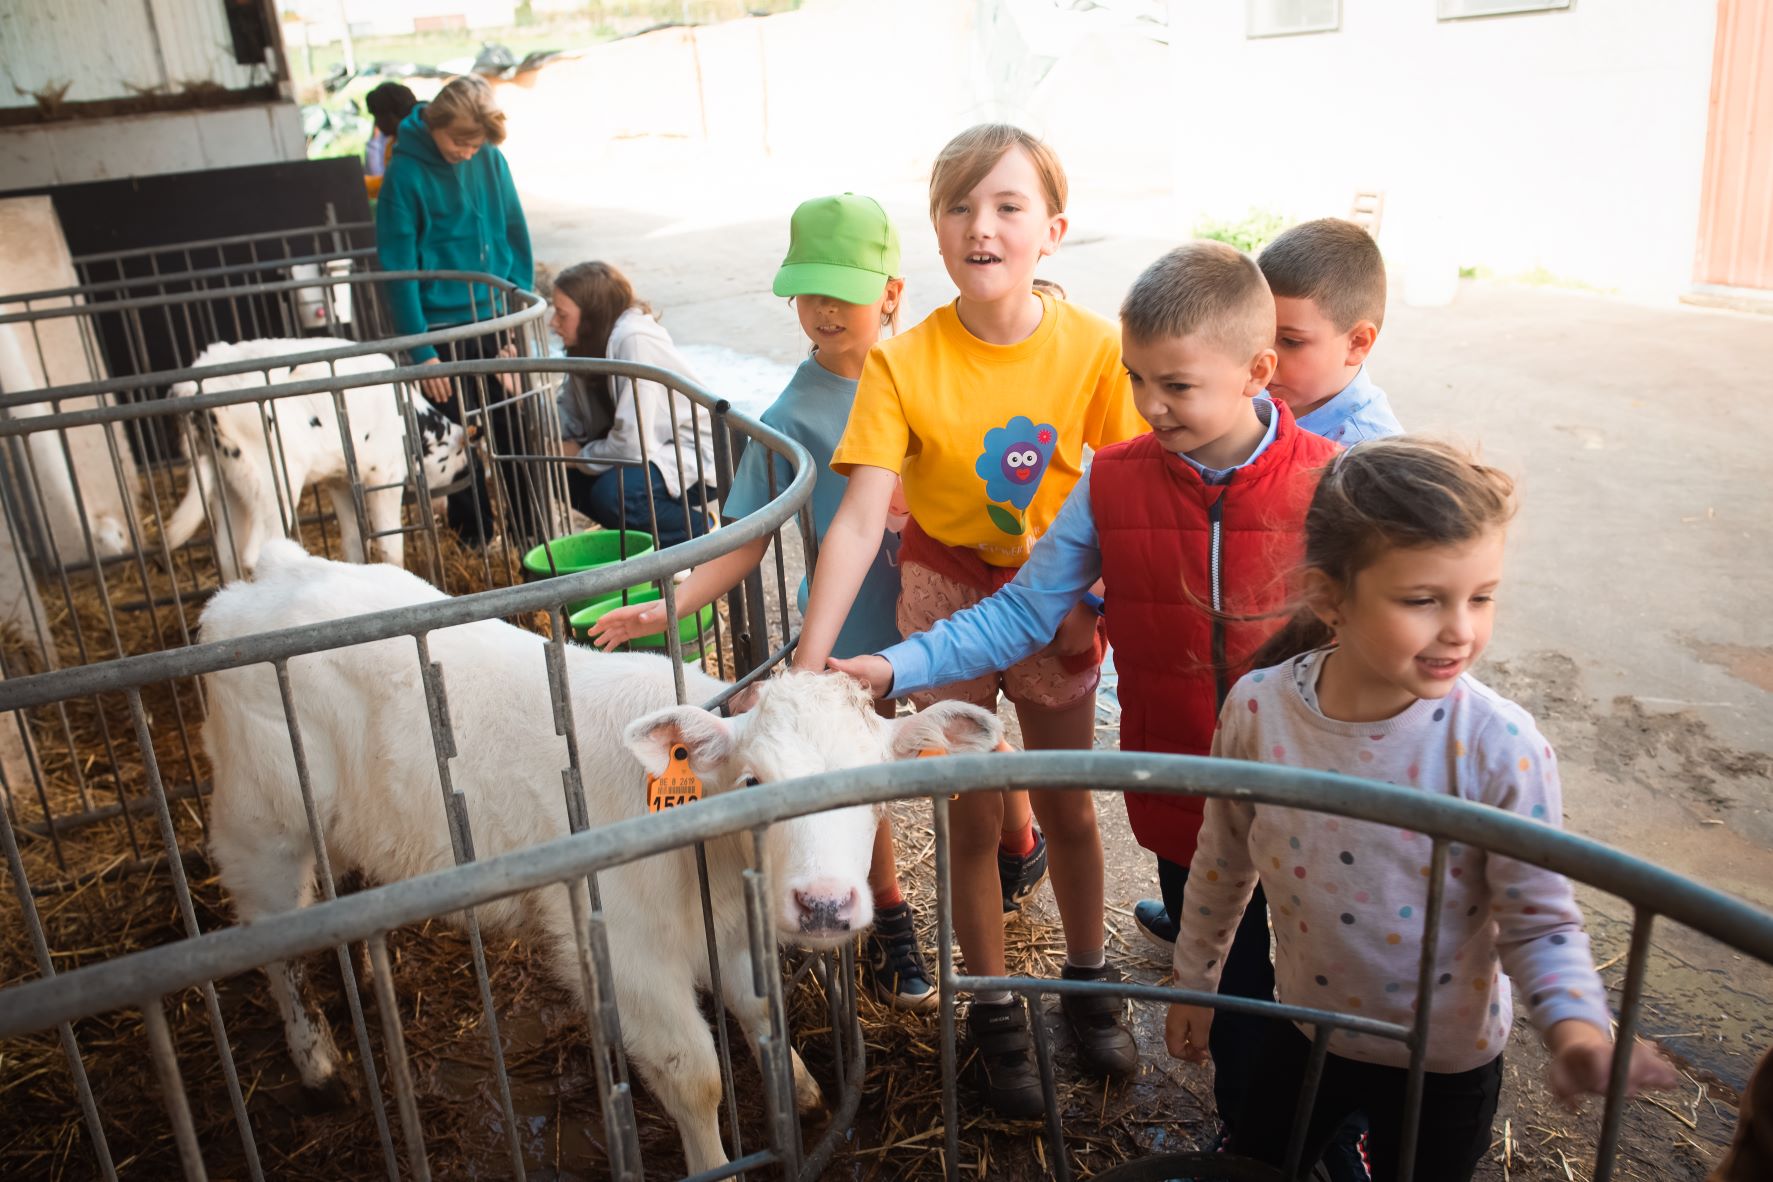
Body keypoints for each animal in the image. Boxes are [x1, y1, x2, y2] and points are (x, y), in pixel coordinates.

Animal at [201, 542, 1007, 1176]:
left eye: (874, 787)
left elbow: (759, 1009)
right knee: (272, 939)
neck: (708, 865)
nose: (824, 904)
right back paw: (318, 1064)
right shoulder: (627, 949)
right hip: (260, 823)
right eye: (752, 783)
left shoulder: (730, 929)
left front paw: (804, 1094)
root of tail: (270, 571)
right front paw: (715, 1161)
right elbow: (694, 1076)